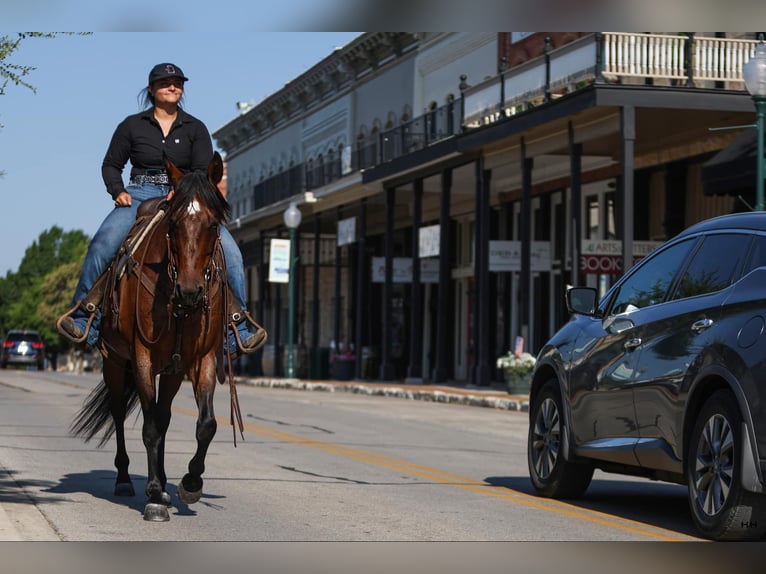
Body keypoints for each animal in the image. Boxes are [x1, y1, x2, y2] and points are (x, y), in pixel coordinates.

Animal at [71, 152, 243, 520]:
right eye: (174, 225)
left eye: (213, 225)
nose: (190, 291)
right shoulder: (142, 357)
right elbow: (148, 427)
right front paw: (152, 496)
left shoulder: (202, 359)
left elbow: (205, 424)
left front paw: (189, 484)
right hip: (114, 361)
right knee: (120, 414)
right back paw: (126, 479)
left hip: (173, 370)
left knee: (163, 416)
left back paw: (164, 484)